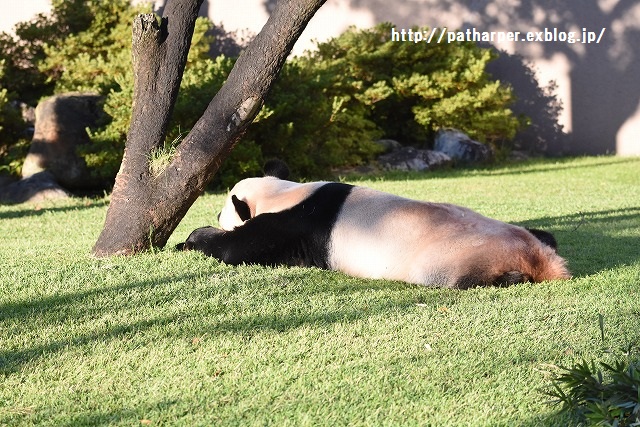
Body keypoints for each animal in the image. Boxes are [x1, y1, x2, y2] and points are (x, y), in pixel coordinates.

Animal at [179, 161, 568, 290]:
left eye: (221, 213)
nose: (219, 216)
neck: (284, 193)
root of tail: (538, 259)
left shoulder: (290, 225)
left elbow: (236, 250)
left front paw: (191, 239)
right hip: (522, 234)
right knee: (546, 235)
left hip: (452, 258)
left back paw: (509, 278)